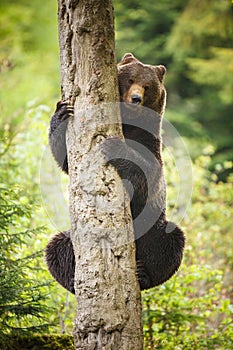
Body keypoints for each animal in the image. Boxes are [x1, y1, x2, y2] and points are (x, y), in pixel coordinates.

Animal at [45, 52, 185, 292]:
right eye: (130, 79)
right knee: (56, 246)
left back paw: (143, 275)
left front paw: (114, 146)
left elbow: (147, 174)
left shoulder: (150, 143)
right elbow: (65, 160)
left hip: (152, 227)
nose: (136, 98)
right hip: (73, 240)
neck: (128, 123)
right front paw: (62, 111)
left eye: (147, 86)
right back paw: (73, 280)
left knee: (171, 243)